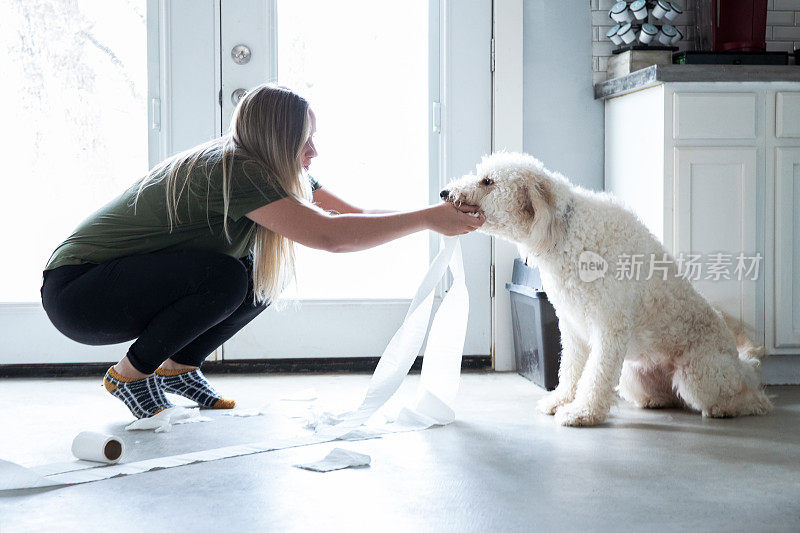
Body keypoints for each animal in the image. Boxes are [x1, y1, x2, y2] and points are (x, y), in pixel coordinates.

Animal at [444, 152, 776, 426]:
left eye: (488, 181)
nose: (445, 192)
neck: (565, 231)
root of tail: (739, 365)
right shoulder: (572, 327)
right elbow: (571, 370)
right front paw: (560, 401)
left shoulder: (609, 326)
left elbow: (596, 374)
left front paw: (582, 412)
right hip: (633, 374)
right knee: (672, 398)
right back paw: (657, 400)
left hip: (697, 376)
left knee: (752, 400)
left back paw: (732, 406)